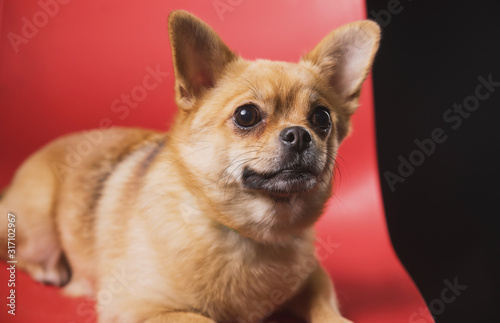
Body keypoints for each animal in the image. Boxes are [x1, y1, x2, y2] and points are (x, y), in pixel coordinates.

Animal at [0, 10, 378, 323]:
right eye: (246, 115)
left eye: (322, 118)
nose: (299, 135)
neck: (252, 234)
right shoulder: (139, 308)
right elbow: (201, 318)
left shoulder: (314, 278)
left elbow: (326, 308)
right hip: (38, 219)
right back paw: (50, 270)